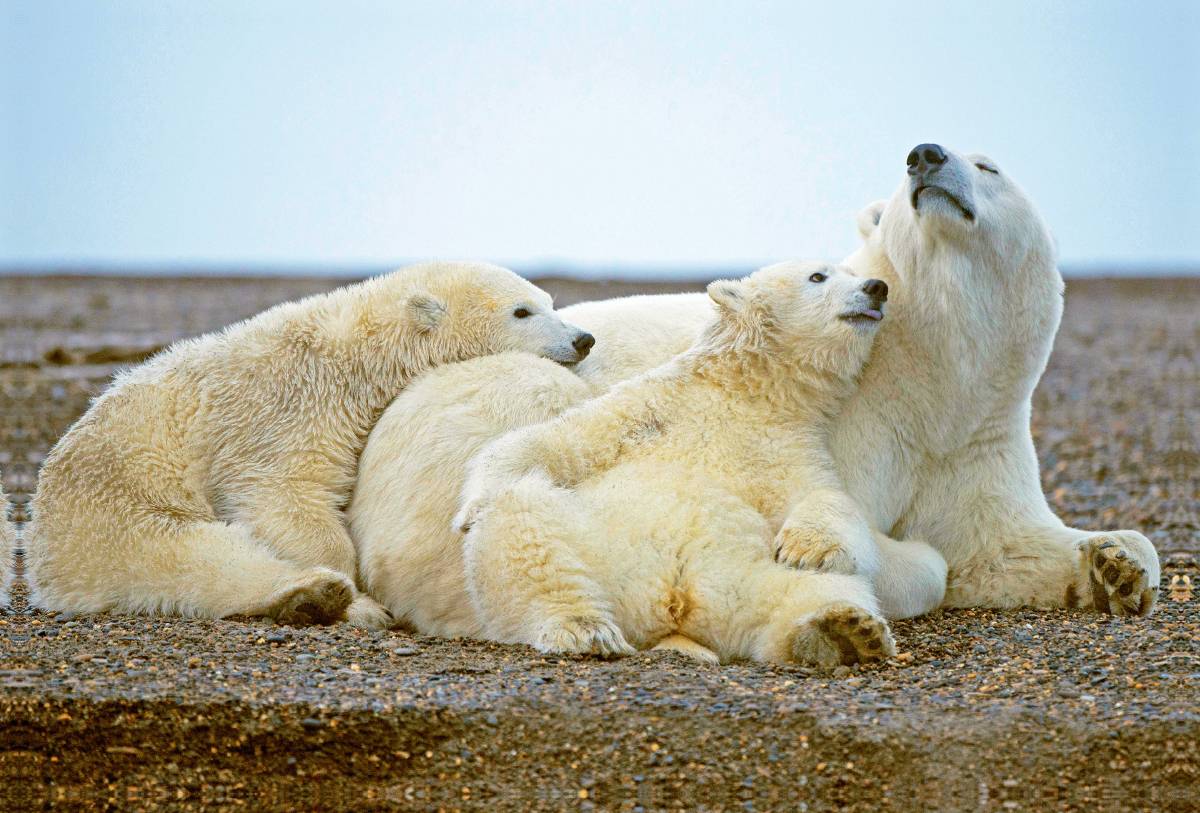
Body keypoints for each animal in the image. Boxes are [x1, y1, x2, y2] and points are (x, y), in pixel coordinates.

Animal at [27, 263, 590, 628]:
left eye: (550, 302)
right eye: (522, 311)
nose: (583, 338)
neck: (346, 357)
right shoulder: (279, 415)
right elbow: (282, 495)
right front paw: (354, 593)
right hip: (113, 514)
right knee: (193, 559)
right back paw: (314, 596)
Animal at [453, 263, 897, 666]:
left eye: (853, 271)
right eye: (818, 276)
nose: (877, 287)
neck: (745, 394)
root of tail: (675, 603)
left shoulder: (790, 448)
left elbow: (827, 501)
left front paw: (805, 549)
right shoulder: (652, 407)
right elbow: (556, 441)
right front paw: (470, 509)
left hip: (748, 579)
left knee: (819, 588)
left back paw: (841, 632)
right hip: (594, 546)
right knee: (523, 527)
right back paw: (584, 628)